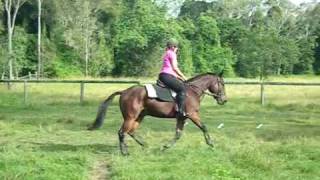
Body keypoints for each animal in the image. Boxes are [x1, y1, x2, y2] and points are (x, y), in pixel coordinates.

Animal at [87, 73, 228, 155]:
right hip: (130, 117)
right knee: (122, 132)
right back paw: (125, 152)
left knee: (130, 132)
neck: (193, 91)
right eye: (222, 83)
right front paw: (211, 144)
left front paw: (165, 147)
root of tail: (124, 91)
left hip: (139, 116)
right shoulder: (192, 114)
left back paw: (144, 145)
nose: (224, 100)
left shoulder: (182, 117)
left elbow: (178, 134)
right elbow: (203, 127)